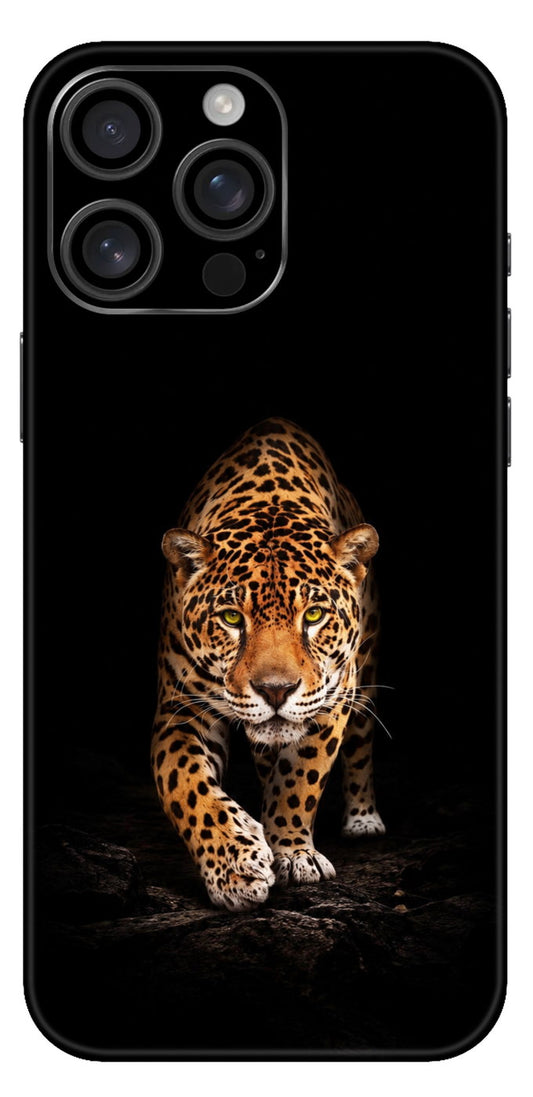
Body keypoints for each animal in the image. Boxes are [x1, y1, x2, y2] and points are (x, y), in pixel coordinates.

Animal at [151, 417, 385, 911]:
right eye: (231, 618)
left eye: (313, 616)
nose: (276, 690)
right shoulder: (181, 709)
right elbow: (186, 784)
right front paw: (235, 867)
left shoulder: (332, 698)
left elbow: (300, 778)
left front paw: (294, 852)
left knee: (360, 742)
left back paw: (363, 820)